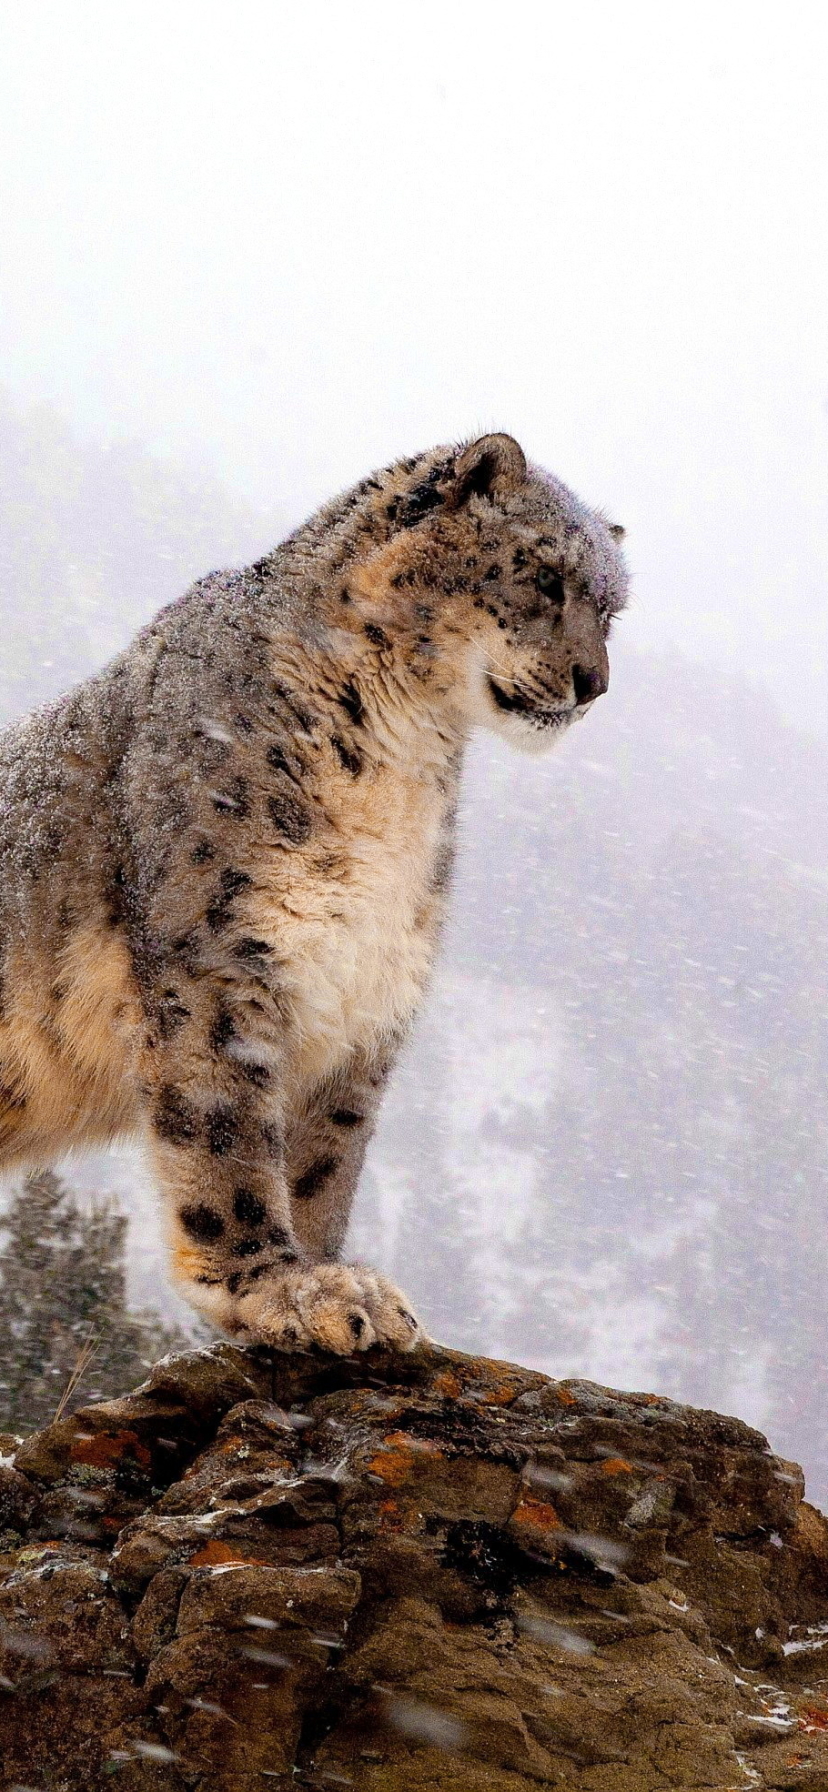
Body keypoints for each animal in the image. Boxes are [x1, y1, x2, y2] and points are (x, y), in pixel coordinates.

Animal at [0, 433, 623, 1347]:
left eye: (613, 608)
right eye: (545, 575)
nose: (593, 682)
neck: (405, 765)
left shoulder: (366, 991)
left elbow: (326, 1158)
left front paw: (341, 1277)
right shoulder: (222, 955)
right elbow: (227, 1136)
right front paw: (283, 1286)